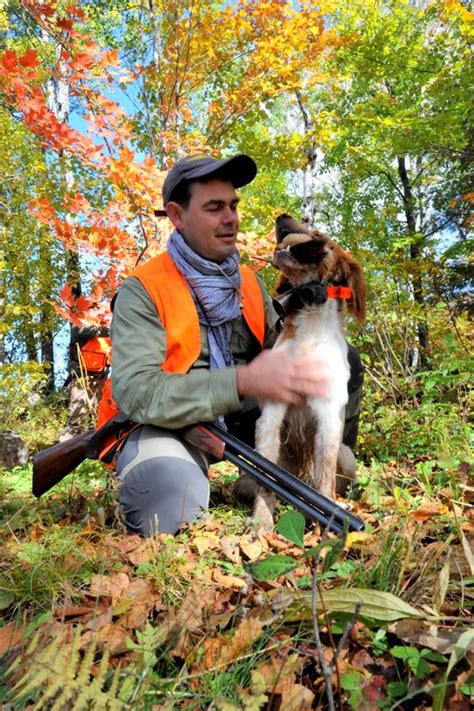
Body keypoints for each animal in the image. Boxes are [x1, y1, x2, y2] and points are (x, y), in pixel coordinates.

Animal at [252, 214, 366, 532]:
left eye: (316, 233)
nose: (282, 217)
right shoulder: (271, 414)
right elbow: (266, 478)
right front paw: (261, 523)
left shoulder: (328, 415)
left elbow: (324, 480)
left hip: (347, 455)